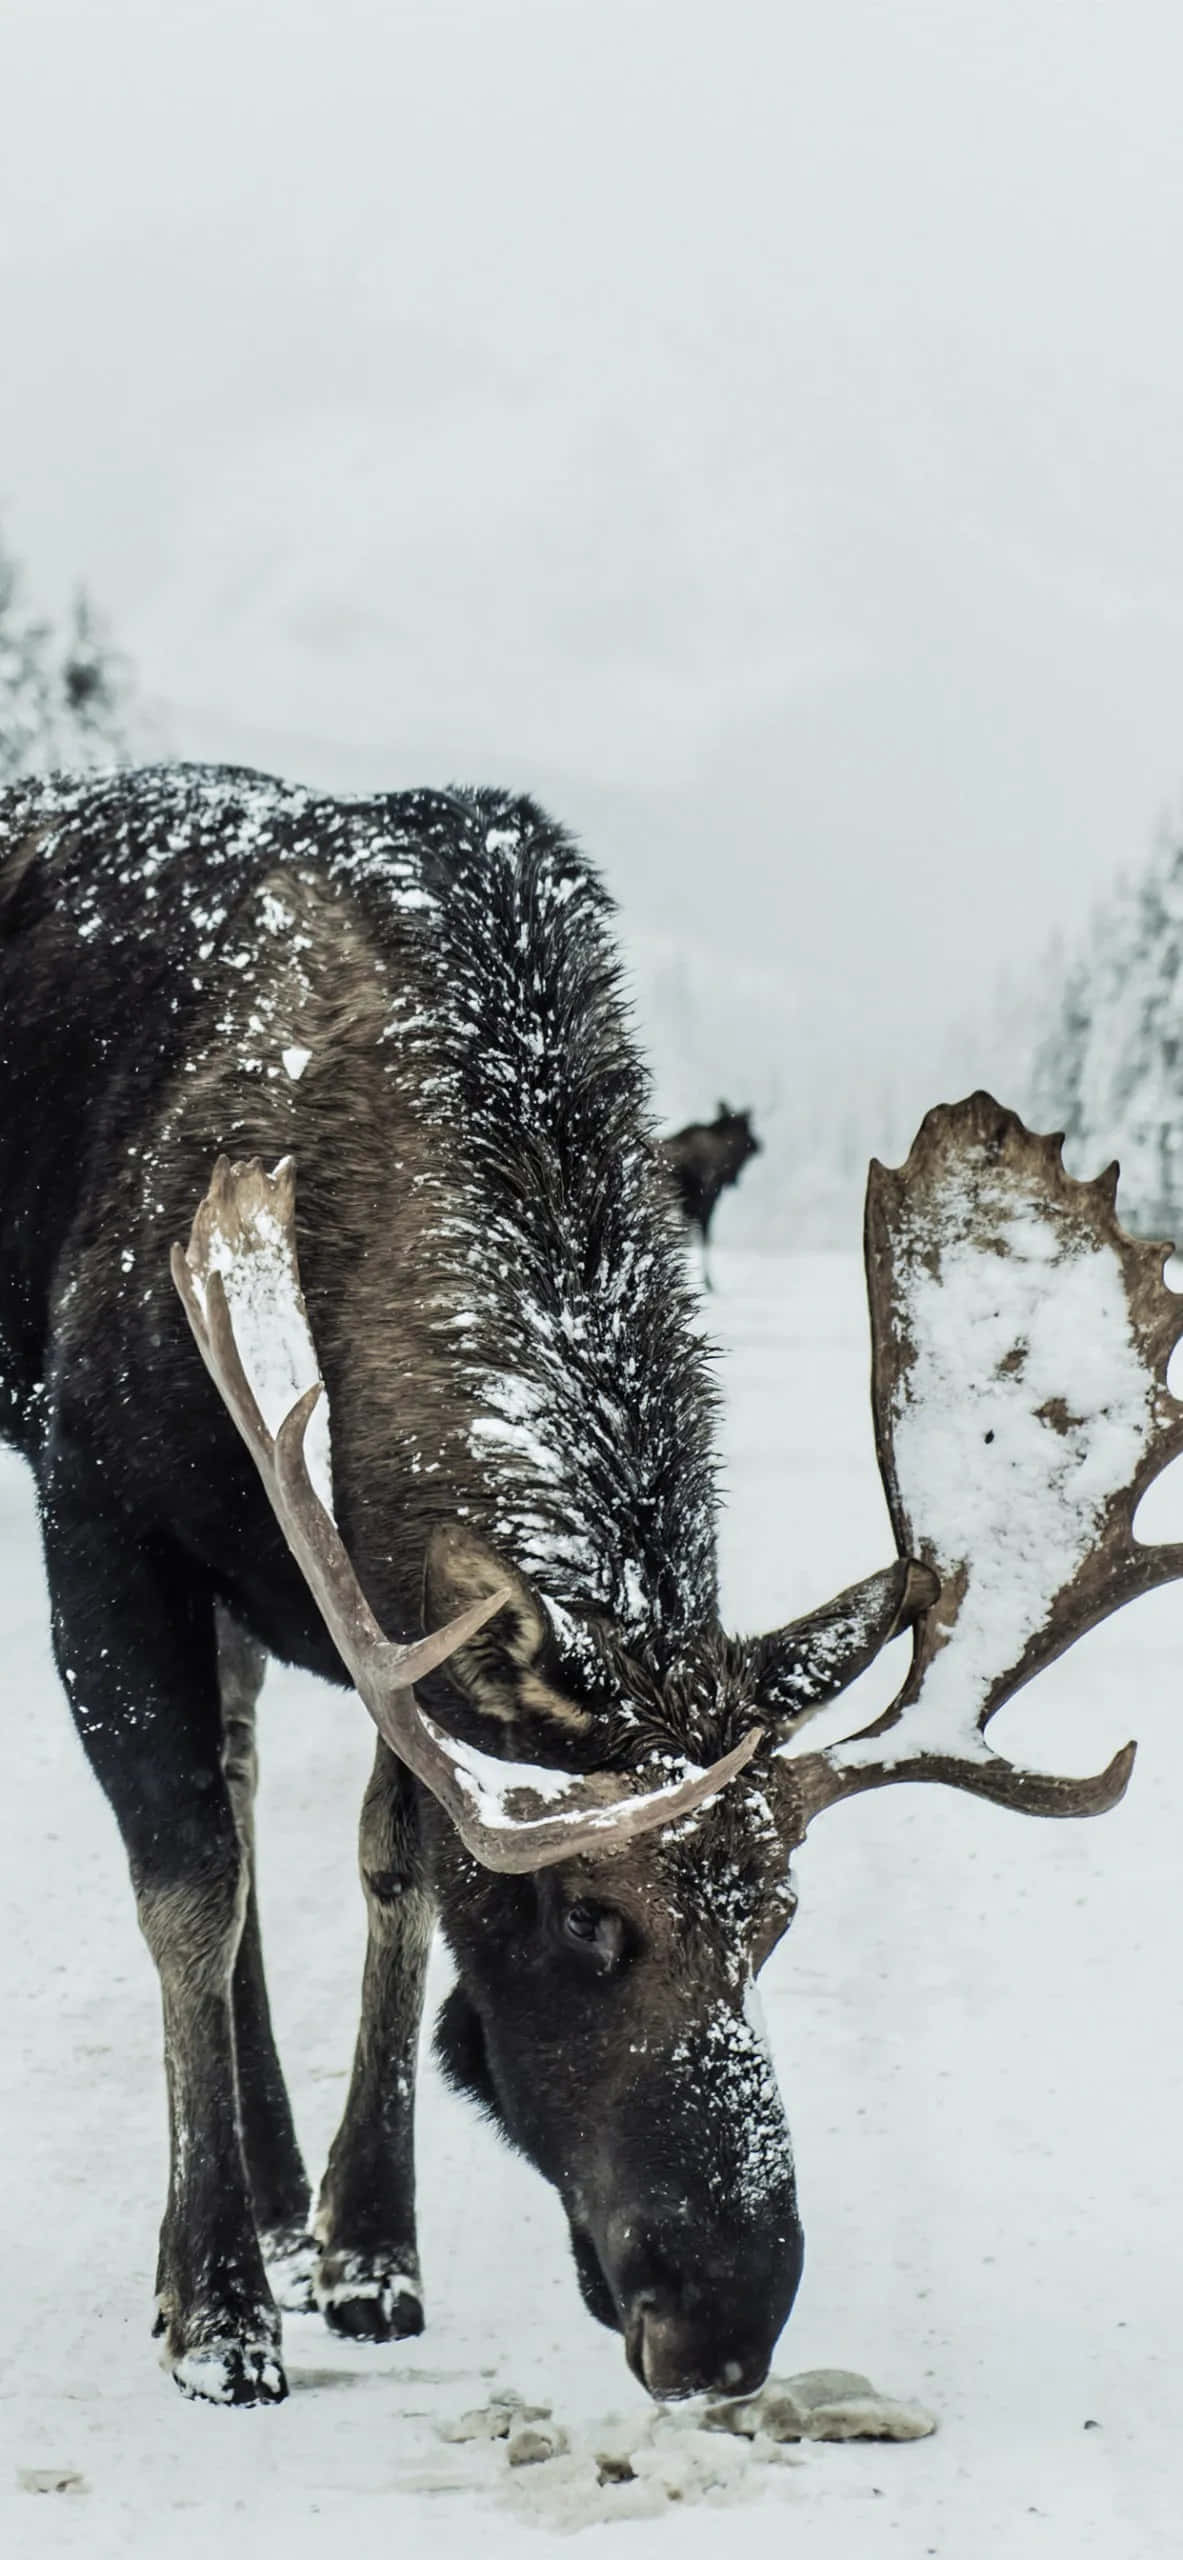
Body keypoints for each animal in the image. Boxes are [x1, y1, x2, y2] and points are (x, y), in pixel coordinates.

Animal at [1, 763, 1180, 2417]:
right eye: (578, 1919)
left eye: (779, 1917)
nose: (724, 2315)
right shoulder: (97, 1502)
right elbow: (189, 1887)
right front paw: (211, 2303)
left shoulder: (399, 1619)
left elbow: (394, 1868)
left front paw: (370, 2244)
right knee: (222, 1811)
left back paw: (295, 2190)